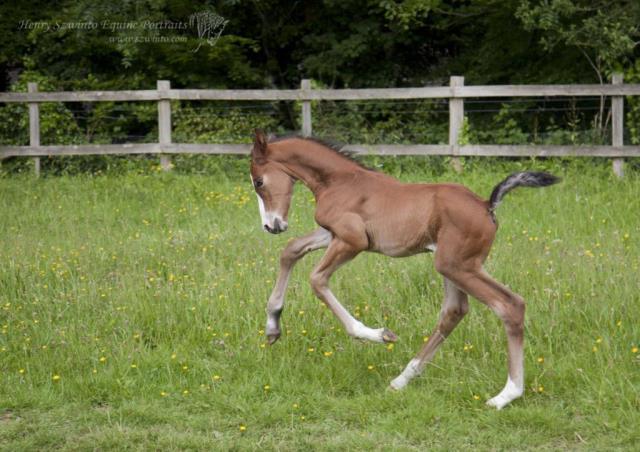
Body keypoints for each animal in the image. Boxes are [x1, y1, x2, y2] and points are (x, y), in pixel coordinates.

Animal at [250, 131, 560, 410]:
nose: (271, 225)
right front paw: (272, 327)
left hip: (457, 266)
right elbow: (290, 250)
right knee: (454, 312)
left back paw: (505, 395)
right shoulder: (333, 234)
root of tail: (488, 205)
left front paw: (377, 334)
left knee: (509, 305)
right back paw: (401, 380)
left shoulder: (353, 240)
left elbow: (316, 280)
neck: (340, 181)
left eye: (259, 181)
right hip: (453, 267)